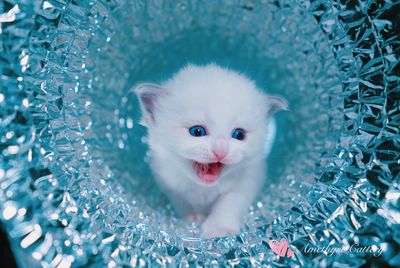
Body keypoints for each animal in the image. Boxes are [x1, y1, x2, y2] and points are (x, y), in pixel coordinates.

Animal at [135, 63, 288, 238]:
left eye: (239, 135)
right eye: (197, 131)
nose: (221, 150)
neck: (204, 189)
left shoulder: (247, 181)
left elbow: (229, 202)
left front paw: (219, 228)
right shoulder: (170, 185)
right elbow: (183, 203)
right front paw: (192, 218)